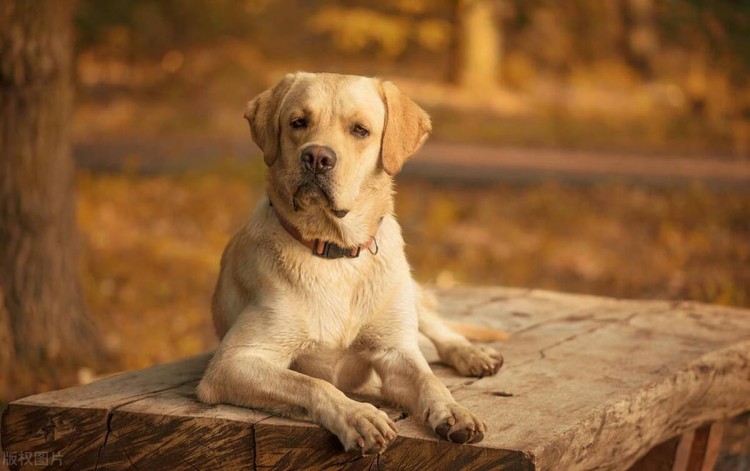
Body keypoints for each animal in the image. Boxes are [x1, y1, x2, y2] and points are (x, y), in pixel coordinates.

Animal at [198, 72, 506, 456]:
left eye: (360, 130)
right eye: (298, 122)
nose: (316, 157)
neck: (336, 251)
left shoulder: (395, 352)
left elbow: (429, 380)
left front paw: (454, 411)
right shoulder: (233, 362)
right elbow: (311, 383)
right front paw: (359, 415)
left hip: (405, 292)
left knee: (438, 329)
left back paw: (472, 353)